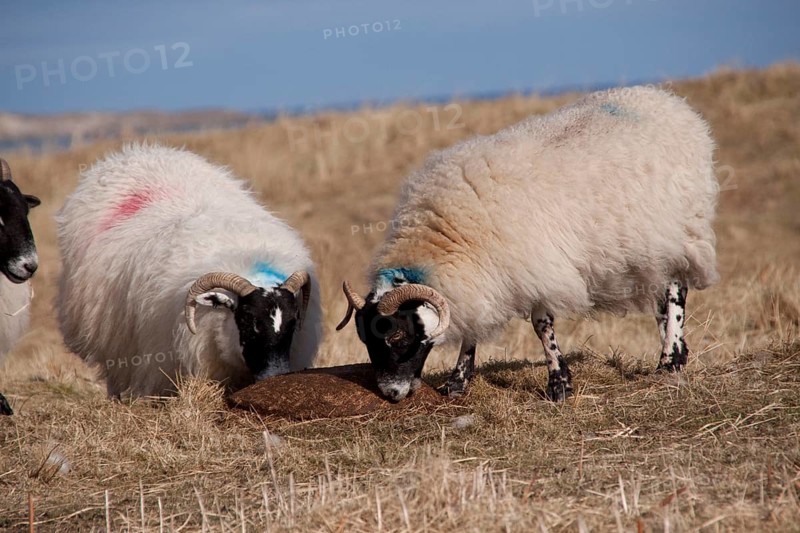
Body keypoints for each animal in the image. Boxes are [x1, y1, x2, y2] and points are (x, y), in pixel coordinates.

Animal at [336, 86, 719, 402]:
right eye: (366, 340)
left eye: (397, 338)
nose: (391, 394)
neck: (449, 235)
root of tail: (668, 101)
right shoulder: (485, 275)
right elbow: (473, 327)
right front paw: (458, 383)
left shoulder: (535, 265)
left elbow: (541, 326)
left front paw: (559, 385)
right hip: (647, 243)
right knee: (661, 298)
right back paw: (677, 351)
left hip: (677, 228)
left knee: (675, 290)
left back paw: (669, 360)